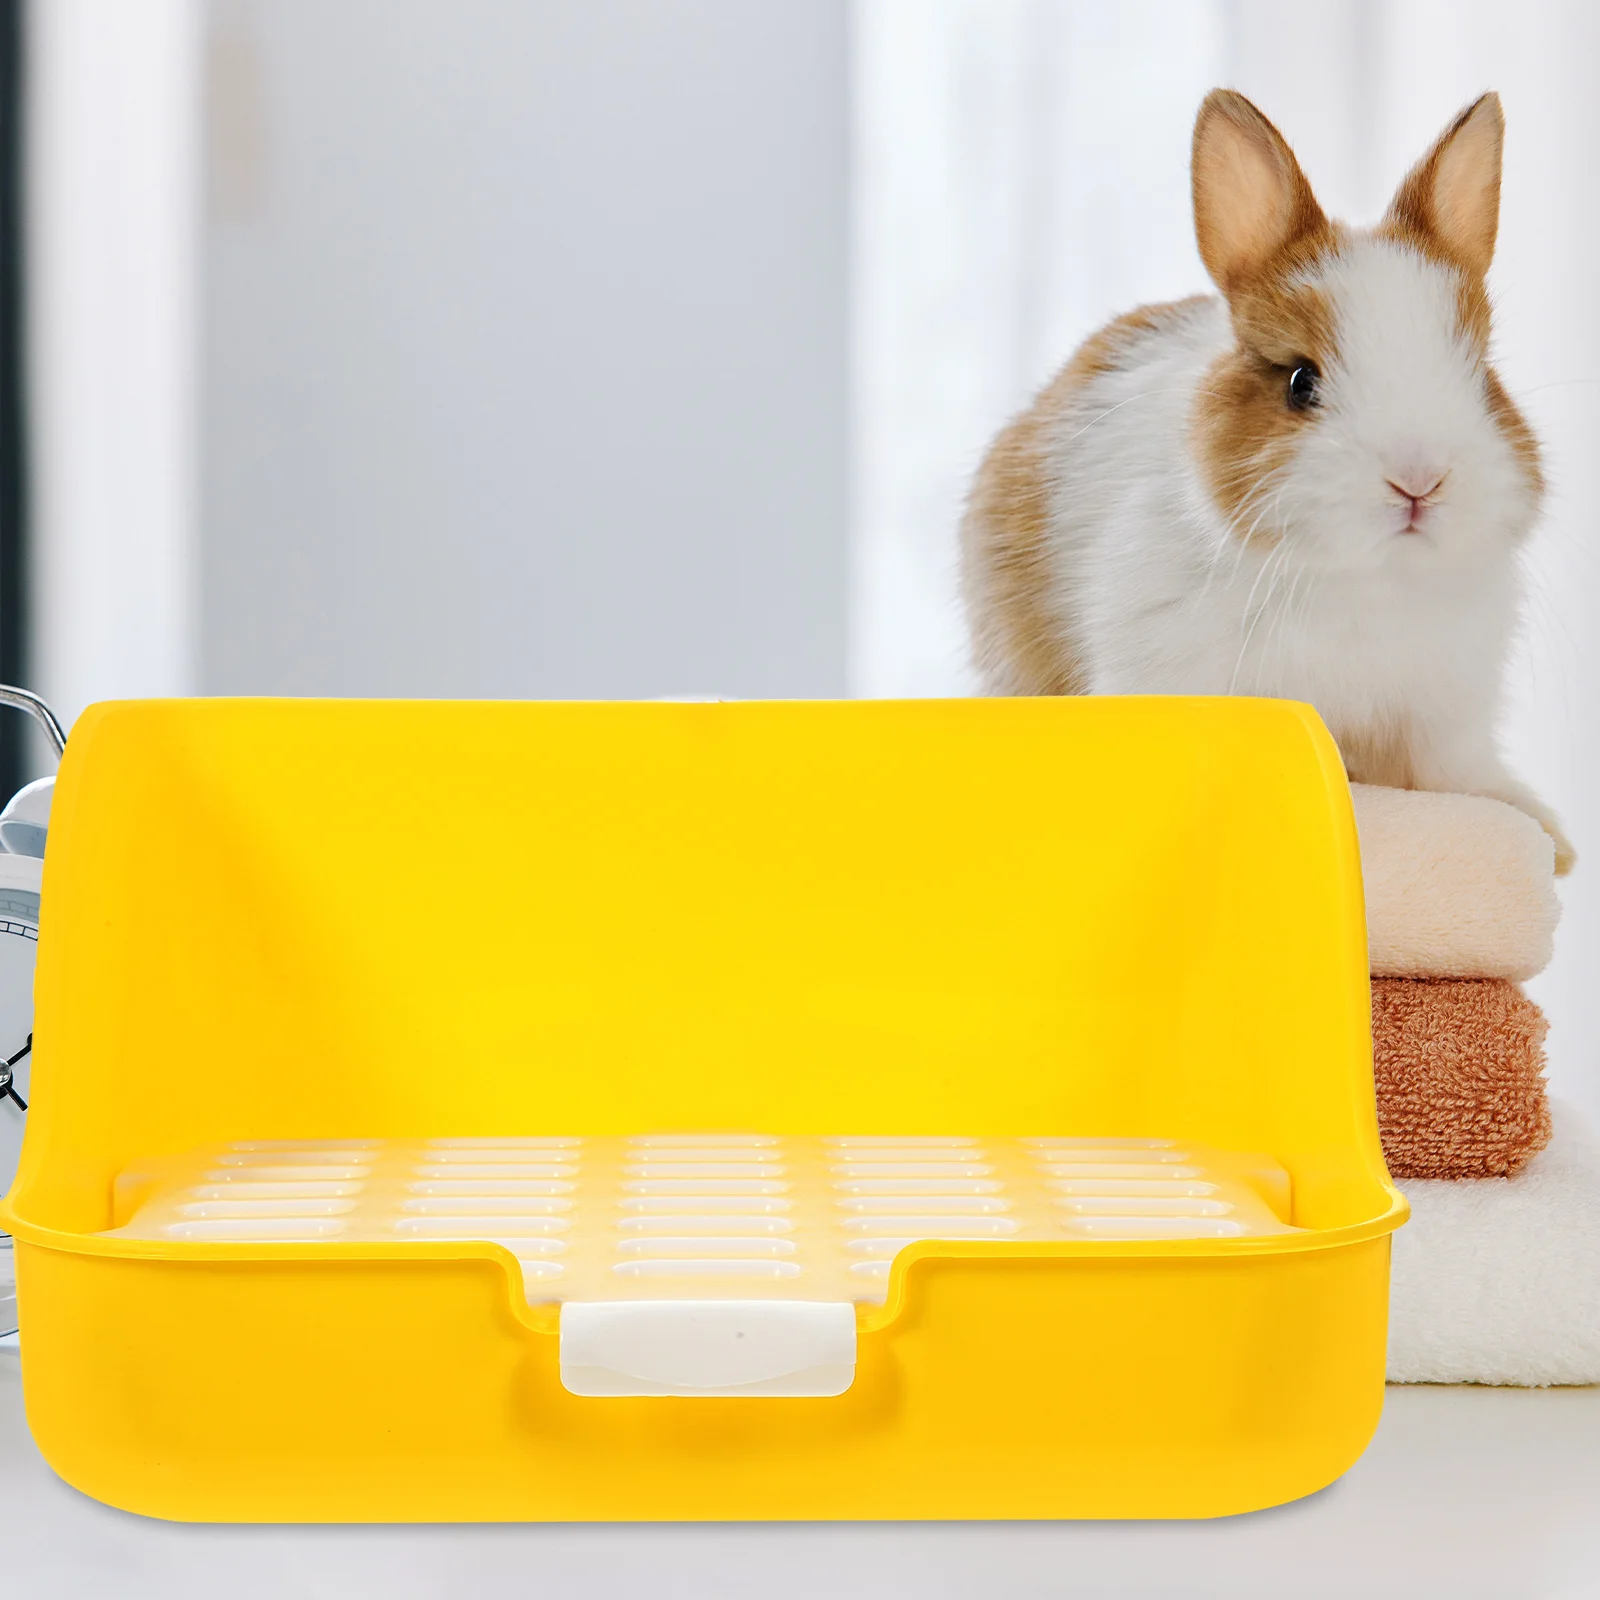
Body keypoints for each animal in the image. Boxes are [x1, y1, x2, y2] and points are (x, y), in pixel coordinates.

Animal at [960, 88, 1574, 874]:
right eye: (1300, 382)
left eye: (1482, 377)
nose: (1419, 481)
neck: (1363, 582)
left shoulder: (1446, 715)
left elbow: (1457, 775)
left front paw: (1548, 841)